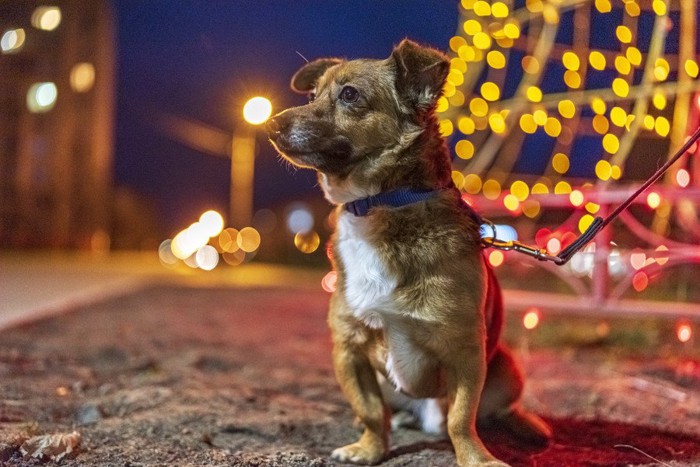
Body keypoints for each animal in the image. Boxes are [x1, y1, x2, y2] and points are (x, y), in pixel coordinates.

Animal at [266, 41, 548, 467]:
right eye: (312, 96)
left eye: (349, 95)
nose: (270, 125)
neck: (379, 204)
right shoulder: (348, 349)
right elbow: (369, 410)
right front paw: (370, 448)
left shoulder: (466, 352)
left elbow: (461, 419)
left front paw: (476, 458)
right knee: (389, 410)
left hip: (507, 366)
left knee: (493, 410)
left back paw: (524, 425)